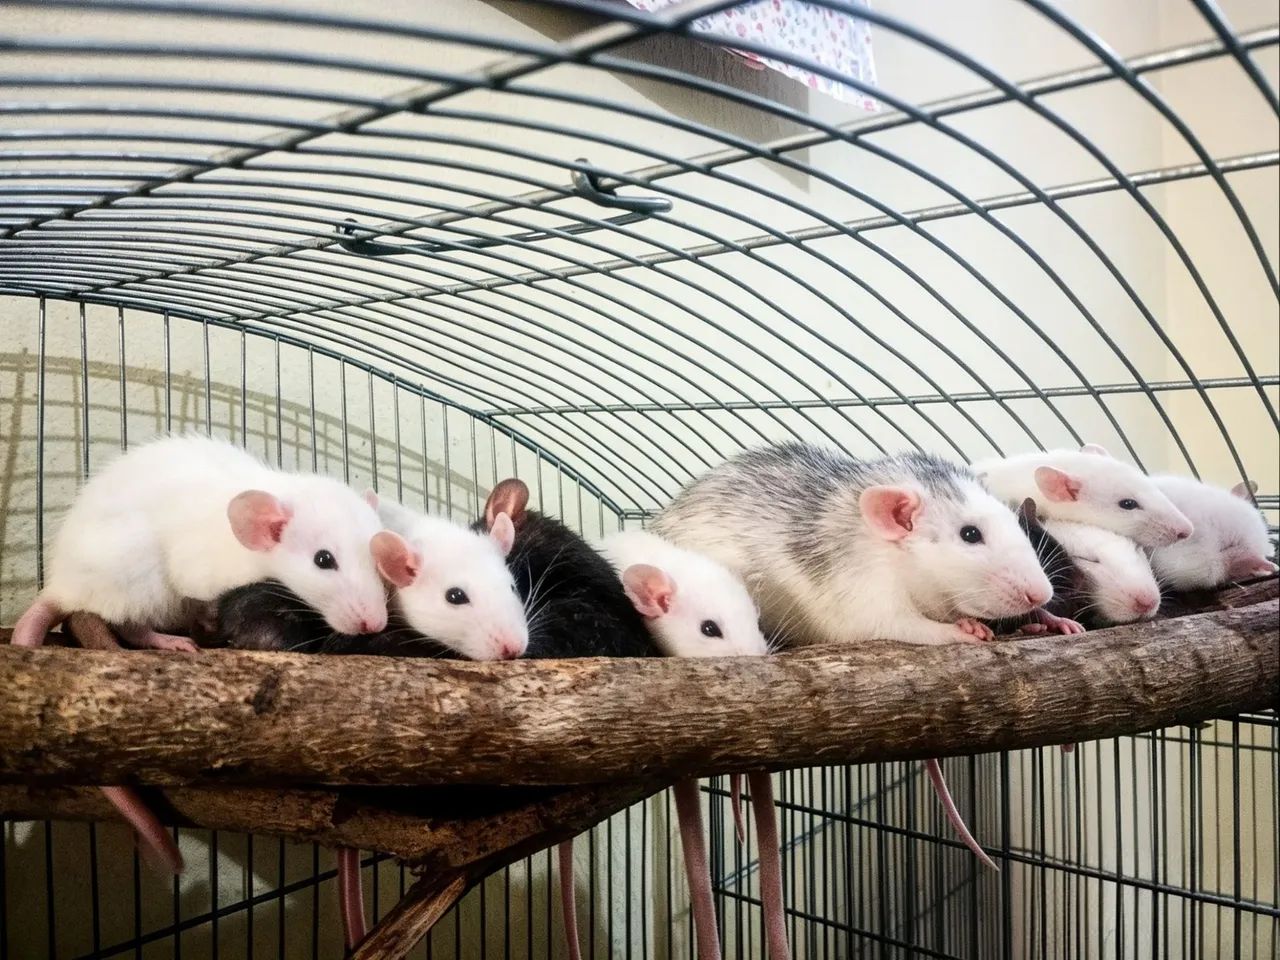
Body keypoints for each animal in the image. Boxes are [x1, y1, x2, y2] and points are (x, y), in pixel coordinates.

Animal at [13, 435, 390, 649]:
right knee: (129, 624)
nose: (374, 624)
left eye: (378, 563)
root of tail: (61, 586)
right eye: (323, 560)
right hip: (136, 579)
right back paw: (165, 640)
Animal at [653, 442, 1052, 647]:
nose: (1041, 594)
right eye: (970, 534)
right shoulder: (862, 579)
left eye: (1012, 521)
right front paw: (959, 630)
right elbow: (888, 626)